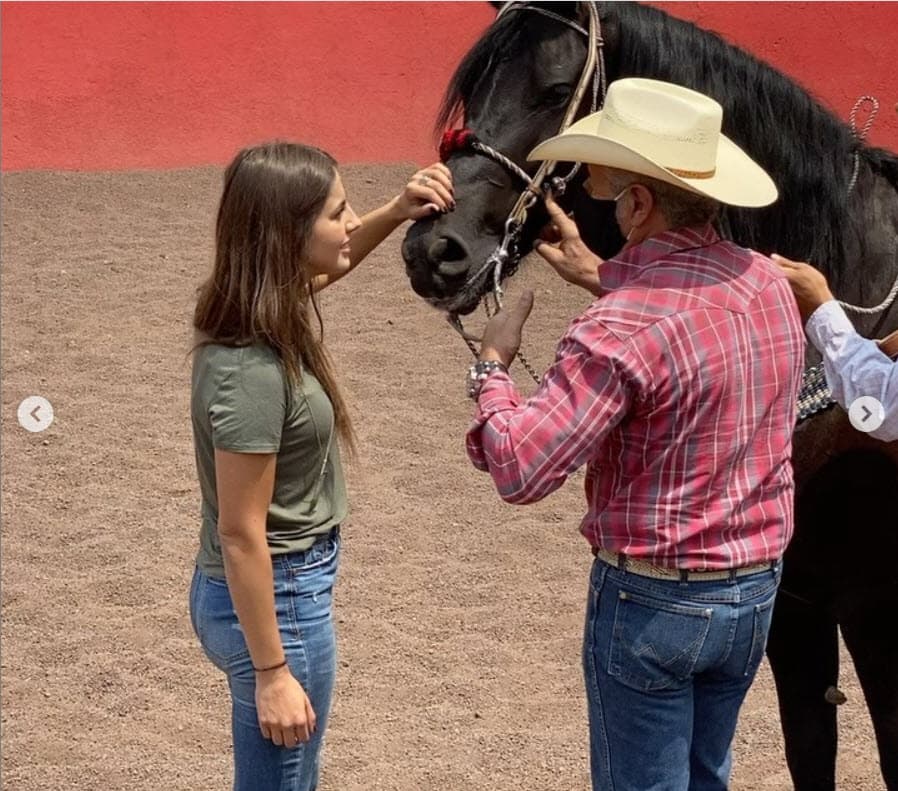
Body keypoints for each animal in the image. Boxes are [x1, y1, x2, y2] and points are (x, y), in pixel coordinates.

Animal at [401, 3, 898, 788]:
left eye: (556, 91)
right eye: (473, 90)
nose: (433, 251)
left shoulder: (875, 610)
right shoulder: (794, 598)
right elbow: (810, 744)